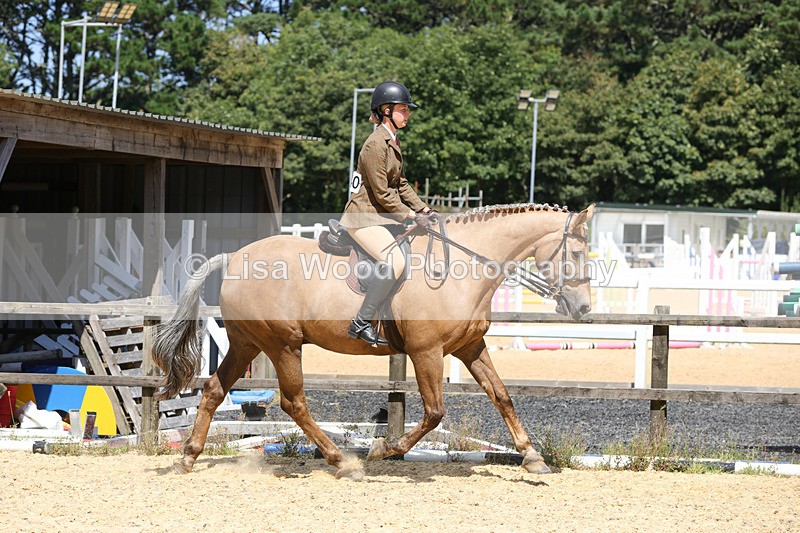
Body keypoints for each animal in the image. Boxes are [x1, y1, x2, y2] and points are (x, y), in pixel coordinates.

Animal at [153, 203, 595, 479]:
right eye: (575, 254)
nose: (583, 309)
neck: (462, 269)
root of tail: (234, 258)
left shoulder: (469, 348)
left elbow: (502, 396)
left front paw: (532, 457)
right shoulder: (426, 352)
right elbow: (434, 412)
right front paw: (386, 448)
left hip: (248, 341)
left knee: (213, 389)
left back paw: (188, 457)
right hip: (283, 345)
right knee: (293, 402)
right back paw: (344, 462)